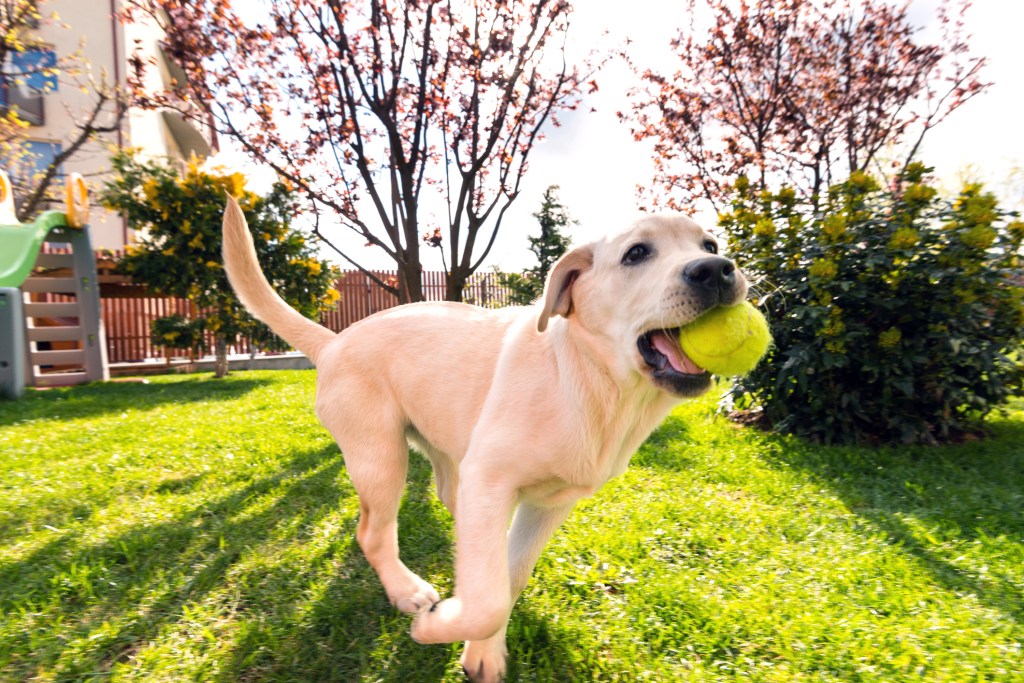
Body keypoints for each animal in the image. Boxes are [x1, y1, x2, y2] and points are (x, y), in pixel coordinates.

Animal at [224, 194, 749, 679]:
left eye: (710, 245)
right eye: (637, 253)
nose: (718, 270)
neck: (589, 382)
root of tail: (334, 341)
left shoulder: (548, 504)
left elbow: (507, 578)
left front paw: (483, 649)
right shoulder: (492, 479)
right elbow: (488, 600)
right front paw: (440, 627)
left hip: (449, 458)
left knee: (455, 514)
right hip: (381, 456)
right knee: (372, 533)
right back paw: (408, 592)